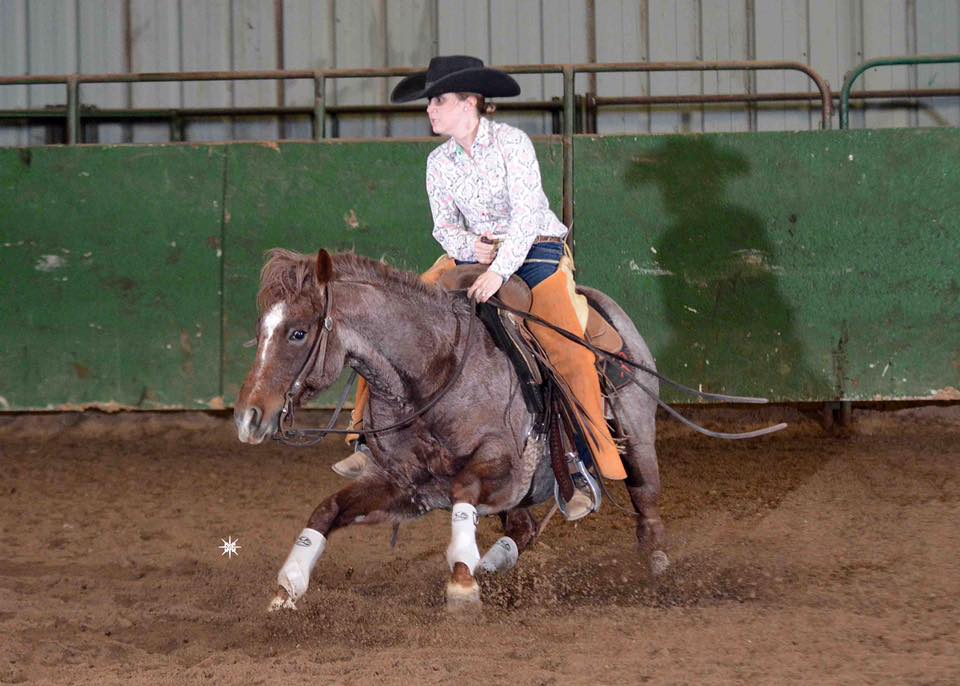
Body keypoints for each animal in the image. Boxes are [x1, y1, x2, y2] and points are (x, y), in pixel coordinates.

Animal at [236, 249, 664, 612]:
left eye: (298, 333)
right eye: (260, 329)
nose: (247, 417)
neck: (432, 376)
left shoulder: (504, 467)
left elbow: (464, 490)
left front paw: (462, 583)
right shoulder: (404, 486)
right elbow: (328, 509)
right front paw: (287, 587)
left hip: (638, 441)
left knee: (646, 504)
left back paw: (655, 572)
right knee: (523, 529)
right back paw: (492, 565)